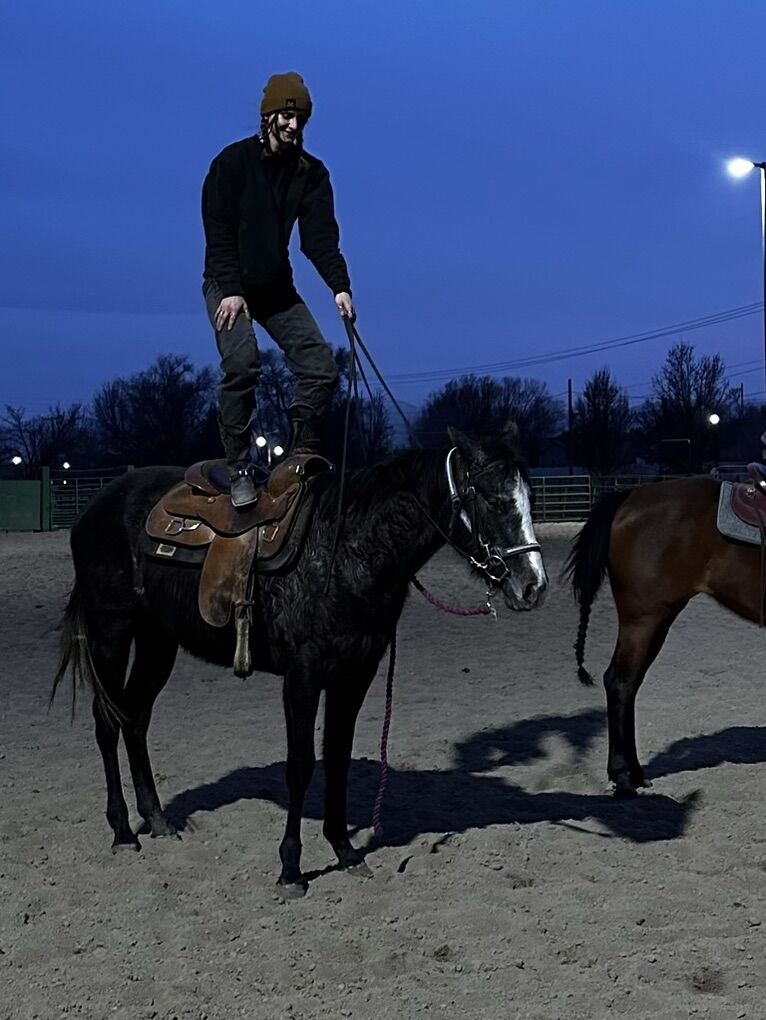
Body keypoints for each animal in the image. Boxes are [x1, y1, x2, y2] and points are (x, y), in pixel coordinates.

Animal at [54, 423, 548, 895]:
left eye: (529, 499)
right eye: (495, 500)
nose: (534, 586)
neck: (347, 547)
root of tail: (95, 509)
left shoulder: (355, 675)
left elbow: (337, 757)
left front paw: (345, 849)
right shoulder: (303, 677)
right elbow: (301, 765)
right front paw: (291, 868)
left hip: (158, 641)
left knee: (135, 717)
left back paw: (156, 819)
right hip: (111, 632)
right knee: (107, 720)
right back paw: (122, 831)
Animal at [565, 475, 761, 797]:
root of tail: (630, 496)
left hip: (657, 621)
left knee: (628, 683)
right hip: (644, 620)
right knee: (620, 682)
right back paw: (623, 775)